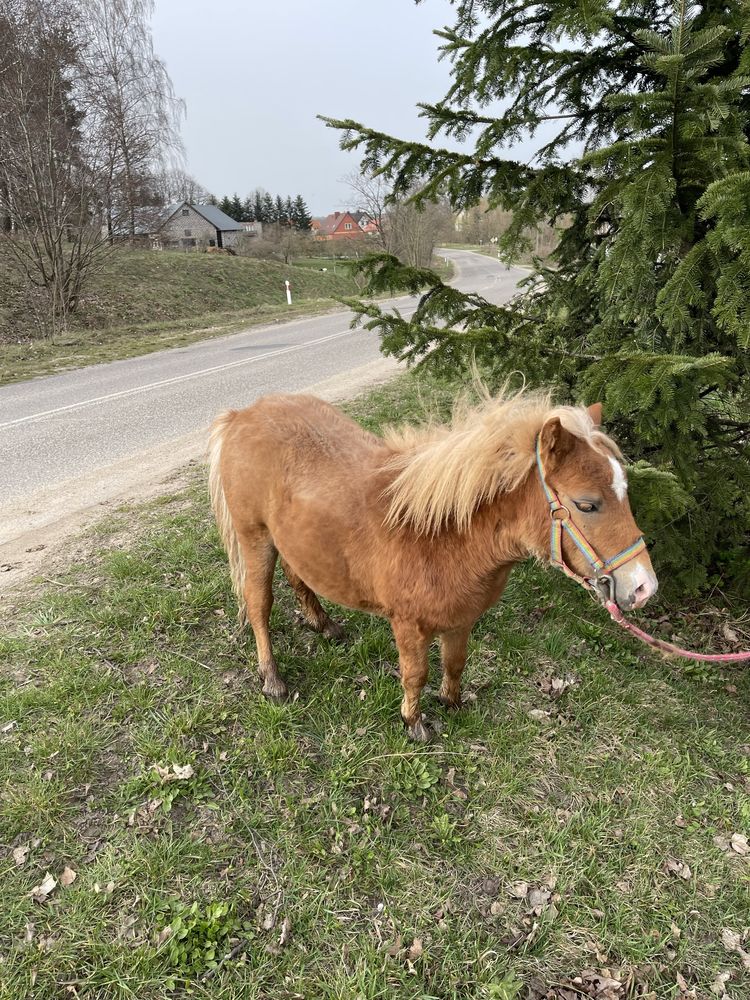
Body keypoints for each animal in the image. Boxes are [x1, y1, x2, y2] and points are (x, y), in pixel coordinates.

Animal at [210, 390, 656, 744]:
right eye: (586, 504)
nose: (643, 588)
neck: (440, 535)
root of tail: (242, 415)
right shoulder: (409, 627)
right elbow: (415, 674)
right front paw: (414, 723)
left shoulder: (461, 620)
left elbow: (454, 664)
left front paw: (453, 703)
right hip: (255, 540)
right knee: (259, 605)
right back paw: (272, 679)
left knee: (298, 574)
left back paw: (324, 624)